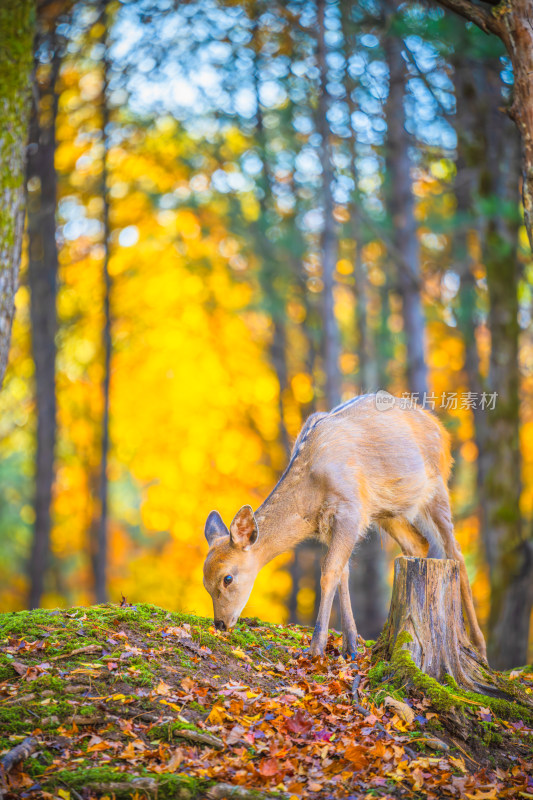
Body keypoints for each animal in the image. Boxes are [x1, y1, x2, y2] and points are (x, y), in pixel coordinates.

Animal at [202, 396, 484, 664]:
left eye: (227, 578)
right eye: (205, 583)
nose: (220, 623)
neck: (310, 499)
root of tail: (441, 429)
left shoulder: (349, 509)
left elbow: (329, 572)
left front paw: (315, 649)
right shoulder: (332, 524)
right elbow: (343, 572)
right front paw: (351, 647)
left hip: (437, 486)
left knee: (455, 553)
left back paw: (478, 646)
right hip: (387, 511)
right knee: (419, 543)